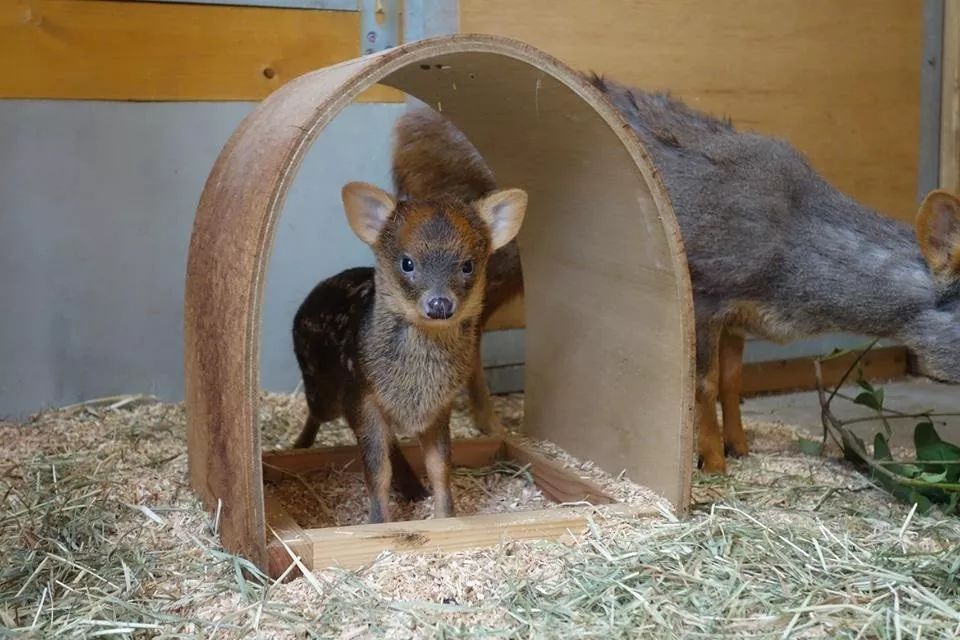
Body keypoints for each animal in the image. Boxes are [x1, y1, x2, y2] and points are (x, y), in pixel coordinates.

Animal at [292, 179, 528, 520]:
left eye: (468, 265)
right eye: (407, 262)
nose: (440, 304)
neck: (415, 387)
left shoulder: (439, 408)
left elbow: (440, 467)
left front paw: (445, 517)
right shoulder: (362, 397)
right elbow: (376, 472)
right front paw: (379, 522)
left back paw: (414, 488)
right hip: (322, 389)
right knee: (316, 413)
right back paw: (299, 445)